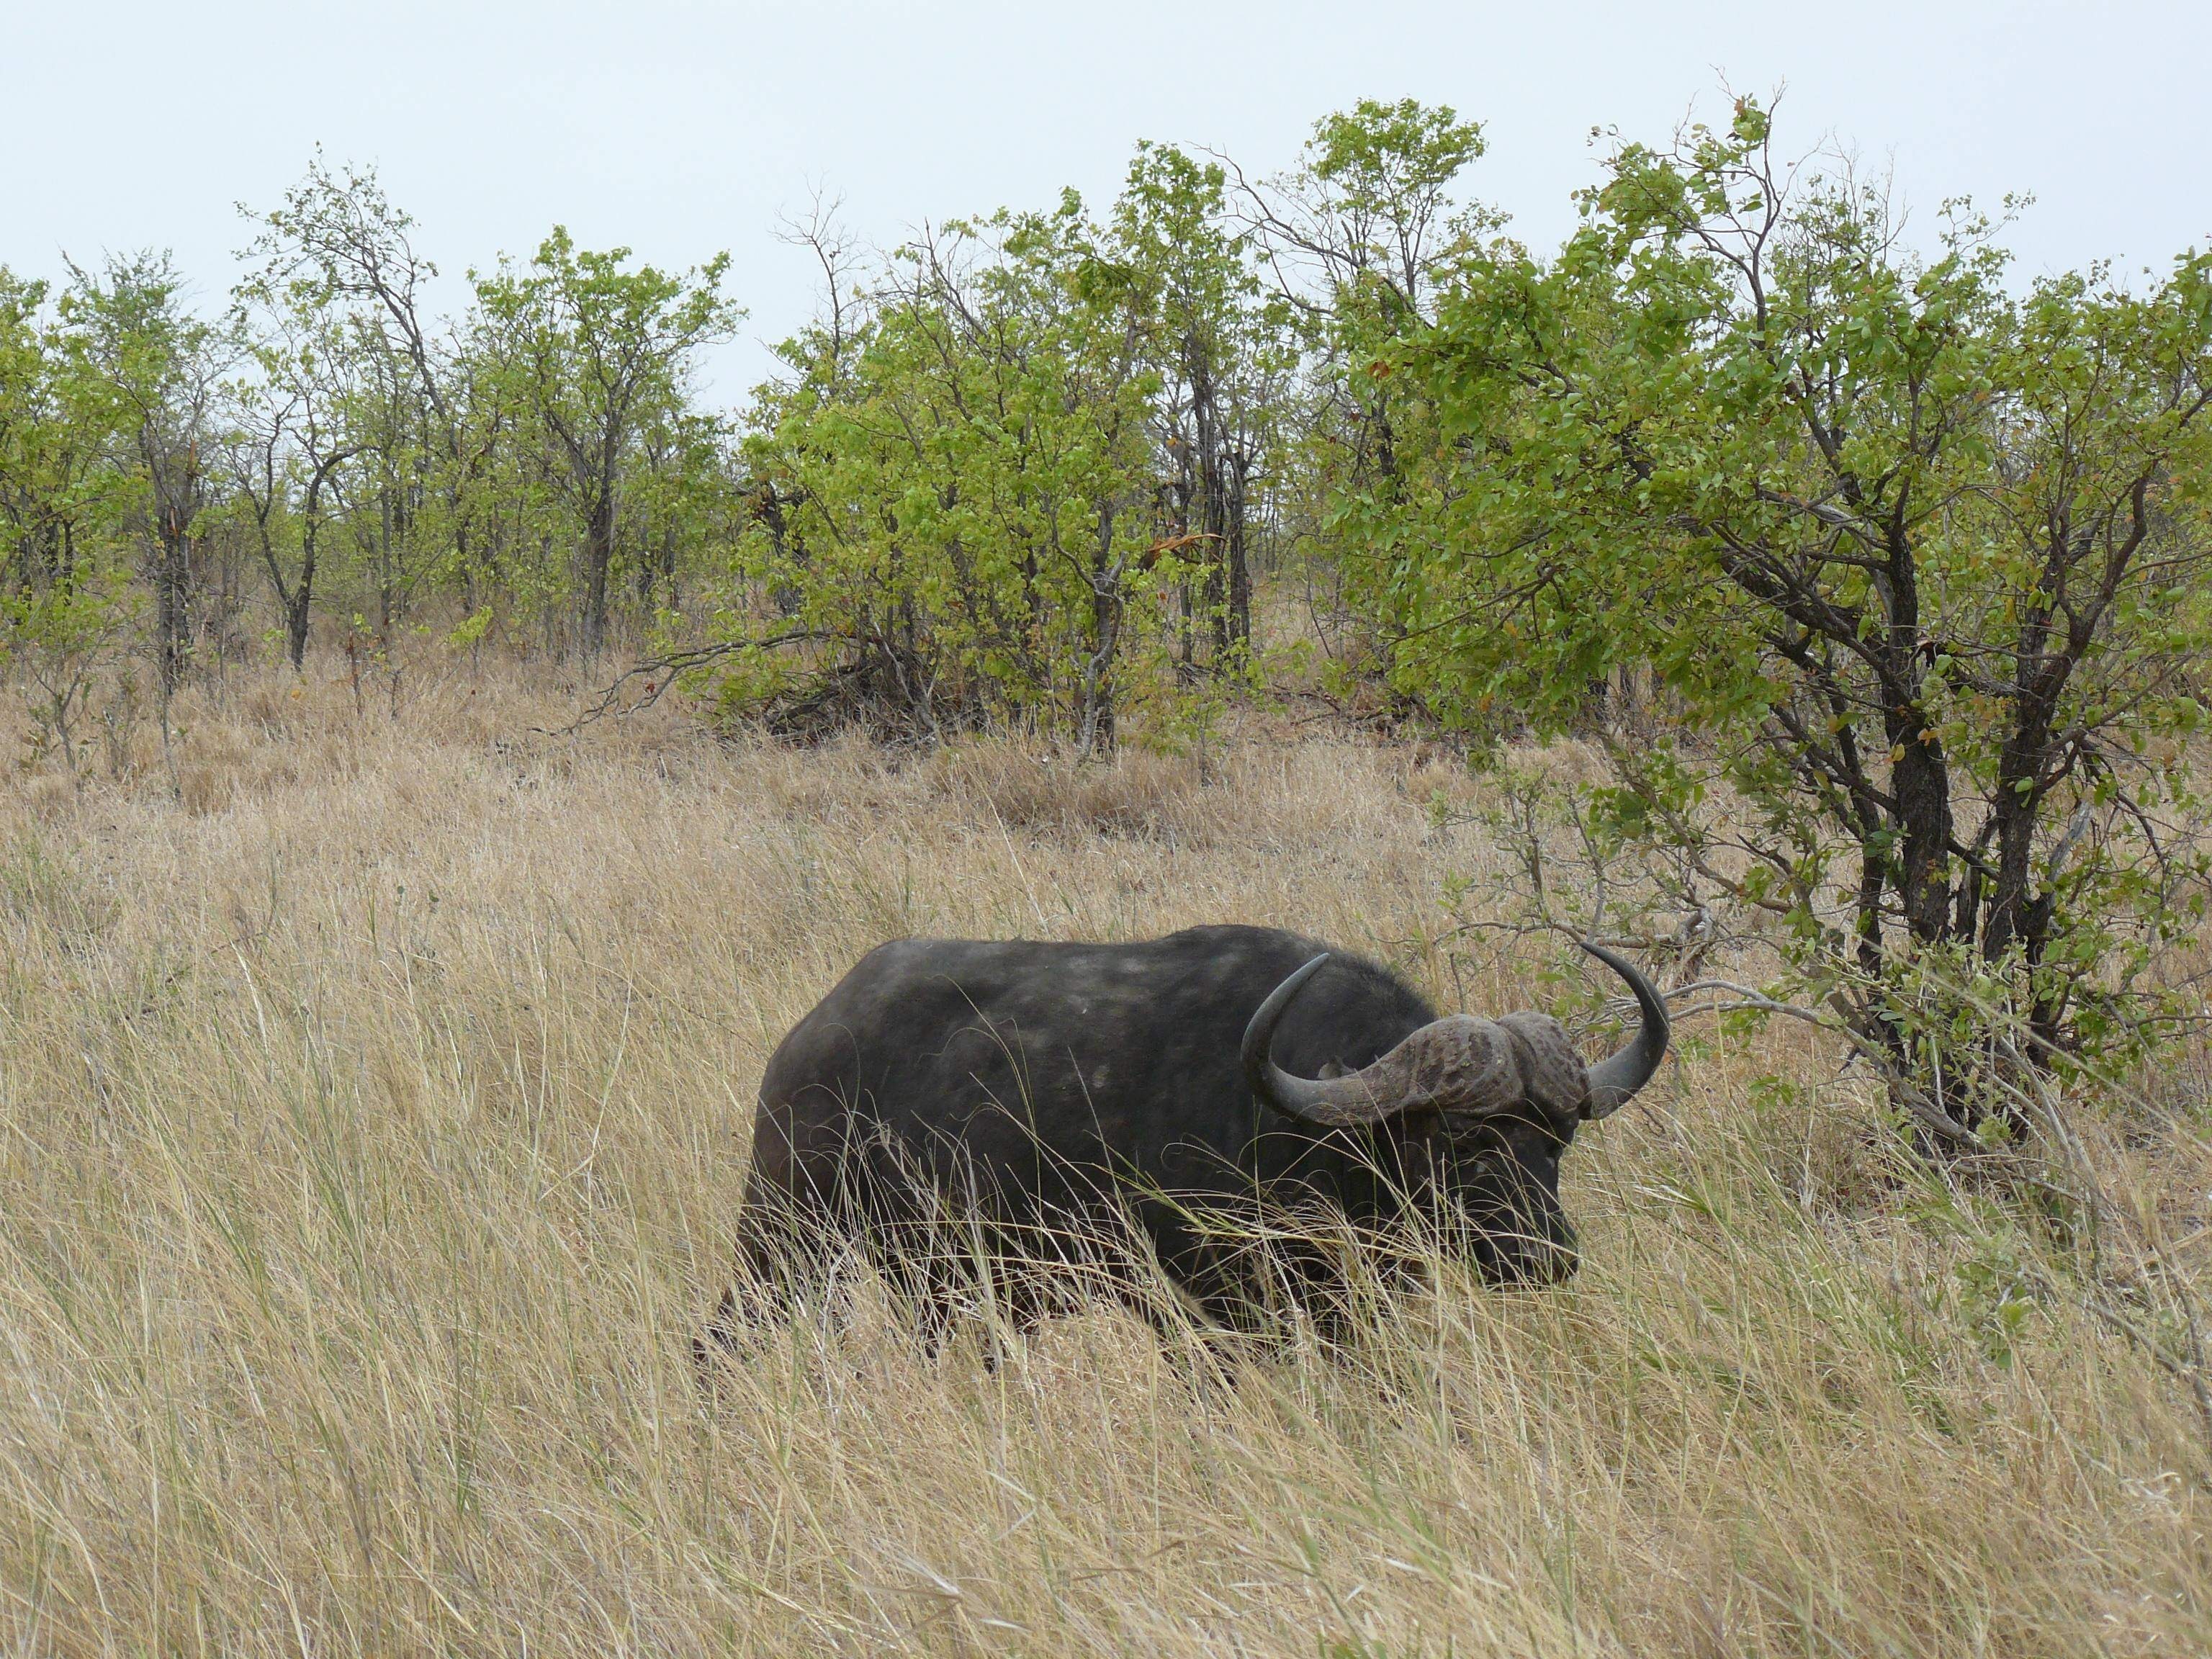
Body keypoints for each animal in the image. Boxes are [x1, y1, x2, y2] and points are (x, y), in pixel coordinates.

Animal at [708, 925, 1663, 1354]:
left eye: (1554, 1142)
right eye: (1462, 1143)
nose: (1545, 1257)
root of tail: (812, 1035)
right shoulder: (1207, 1311)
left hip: (941, 1285)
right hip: (782, 1238)